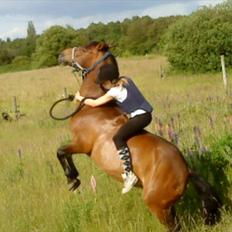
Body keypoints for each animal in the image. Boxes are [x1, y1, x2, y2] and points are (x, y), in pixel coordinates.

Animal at [56, 40, 221, 231]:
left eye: (83, 50)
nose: (61, 54)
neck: (93, 107)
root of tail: (187, 170)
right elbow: (64, 153)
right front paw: (74, 179)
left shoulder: (82, 144)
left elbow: (61, 151)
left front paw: (72, 179)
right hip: (167, 207)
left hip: (157, 205)